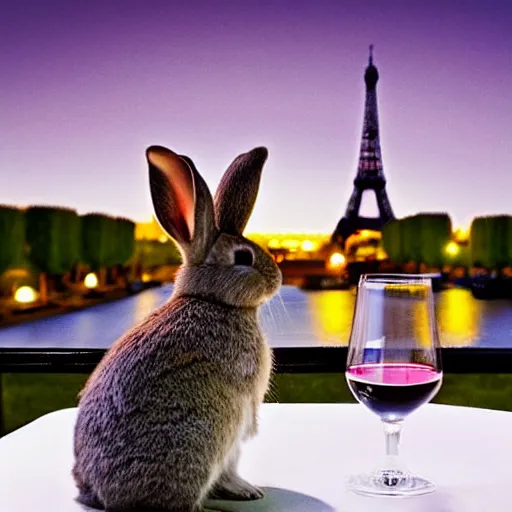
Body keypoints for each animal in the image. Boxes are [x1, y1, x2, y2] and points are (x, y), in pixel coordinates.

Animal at [72, 145, 282, 512]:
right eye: (244, 257)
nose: (278, 278)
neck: (211, 299)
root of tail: (102, 497)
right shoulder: (242, 409)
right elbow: (232, 463)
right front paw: (246, 491)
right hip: (204, 437)